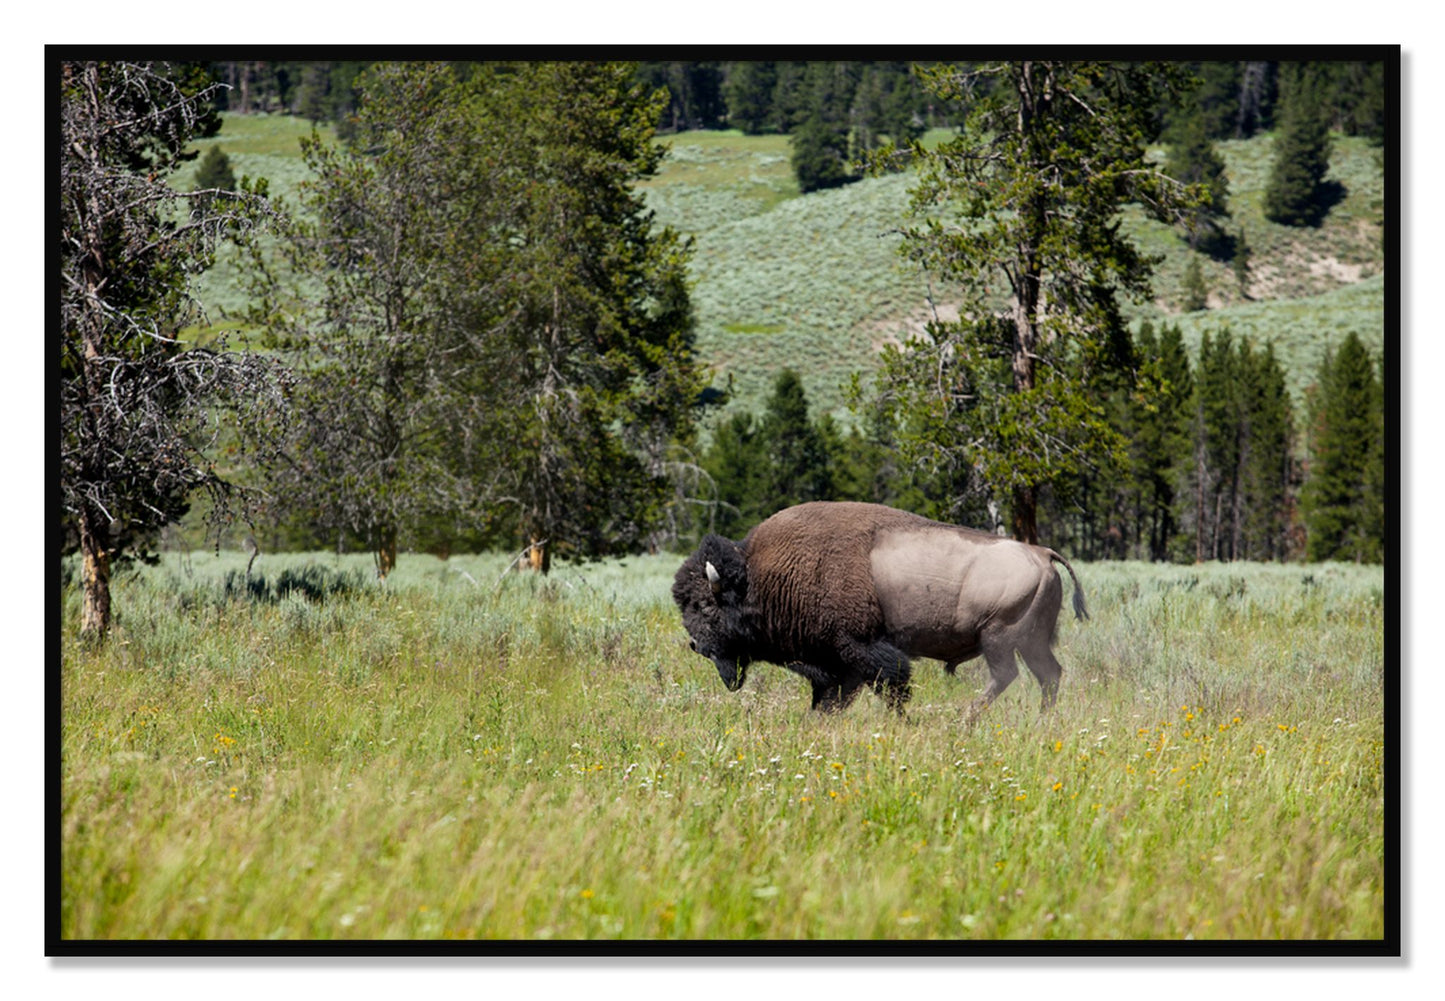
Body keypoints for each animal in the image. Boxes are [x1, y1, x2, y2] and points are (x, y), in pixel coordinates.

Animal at [672, 501, 1088, 722]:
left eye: (706, 606)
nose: (696, 645)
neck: (760, 576)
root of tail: (1042, 553)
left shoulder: (861, 649)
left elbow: (891, 685)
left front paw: (902, 721)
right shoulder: (836, 663)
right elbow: (832, 697)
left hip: (998, 637)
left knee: (1006, 675)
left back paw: (965, 719)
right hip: (1031, 641)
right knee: (1048, 675)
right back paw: (1041, 720)